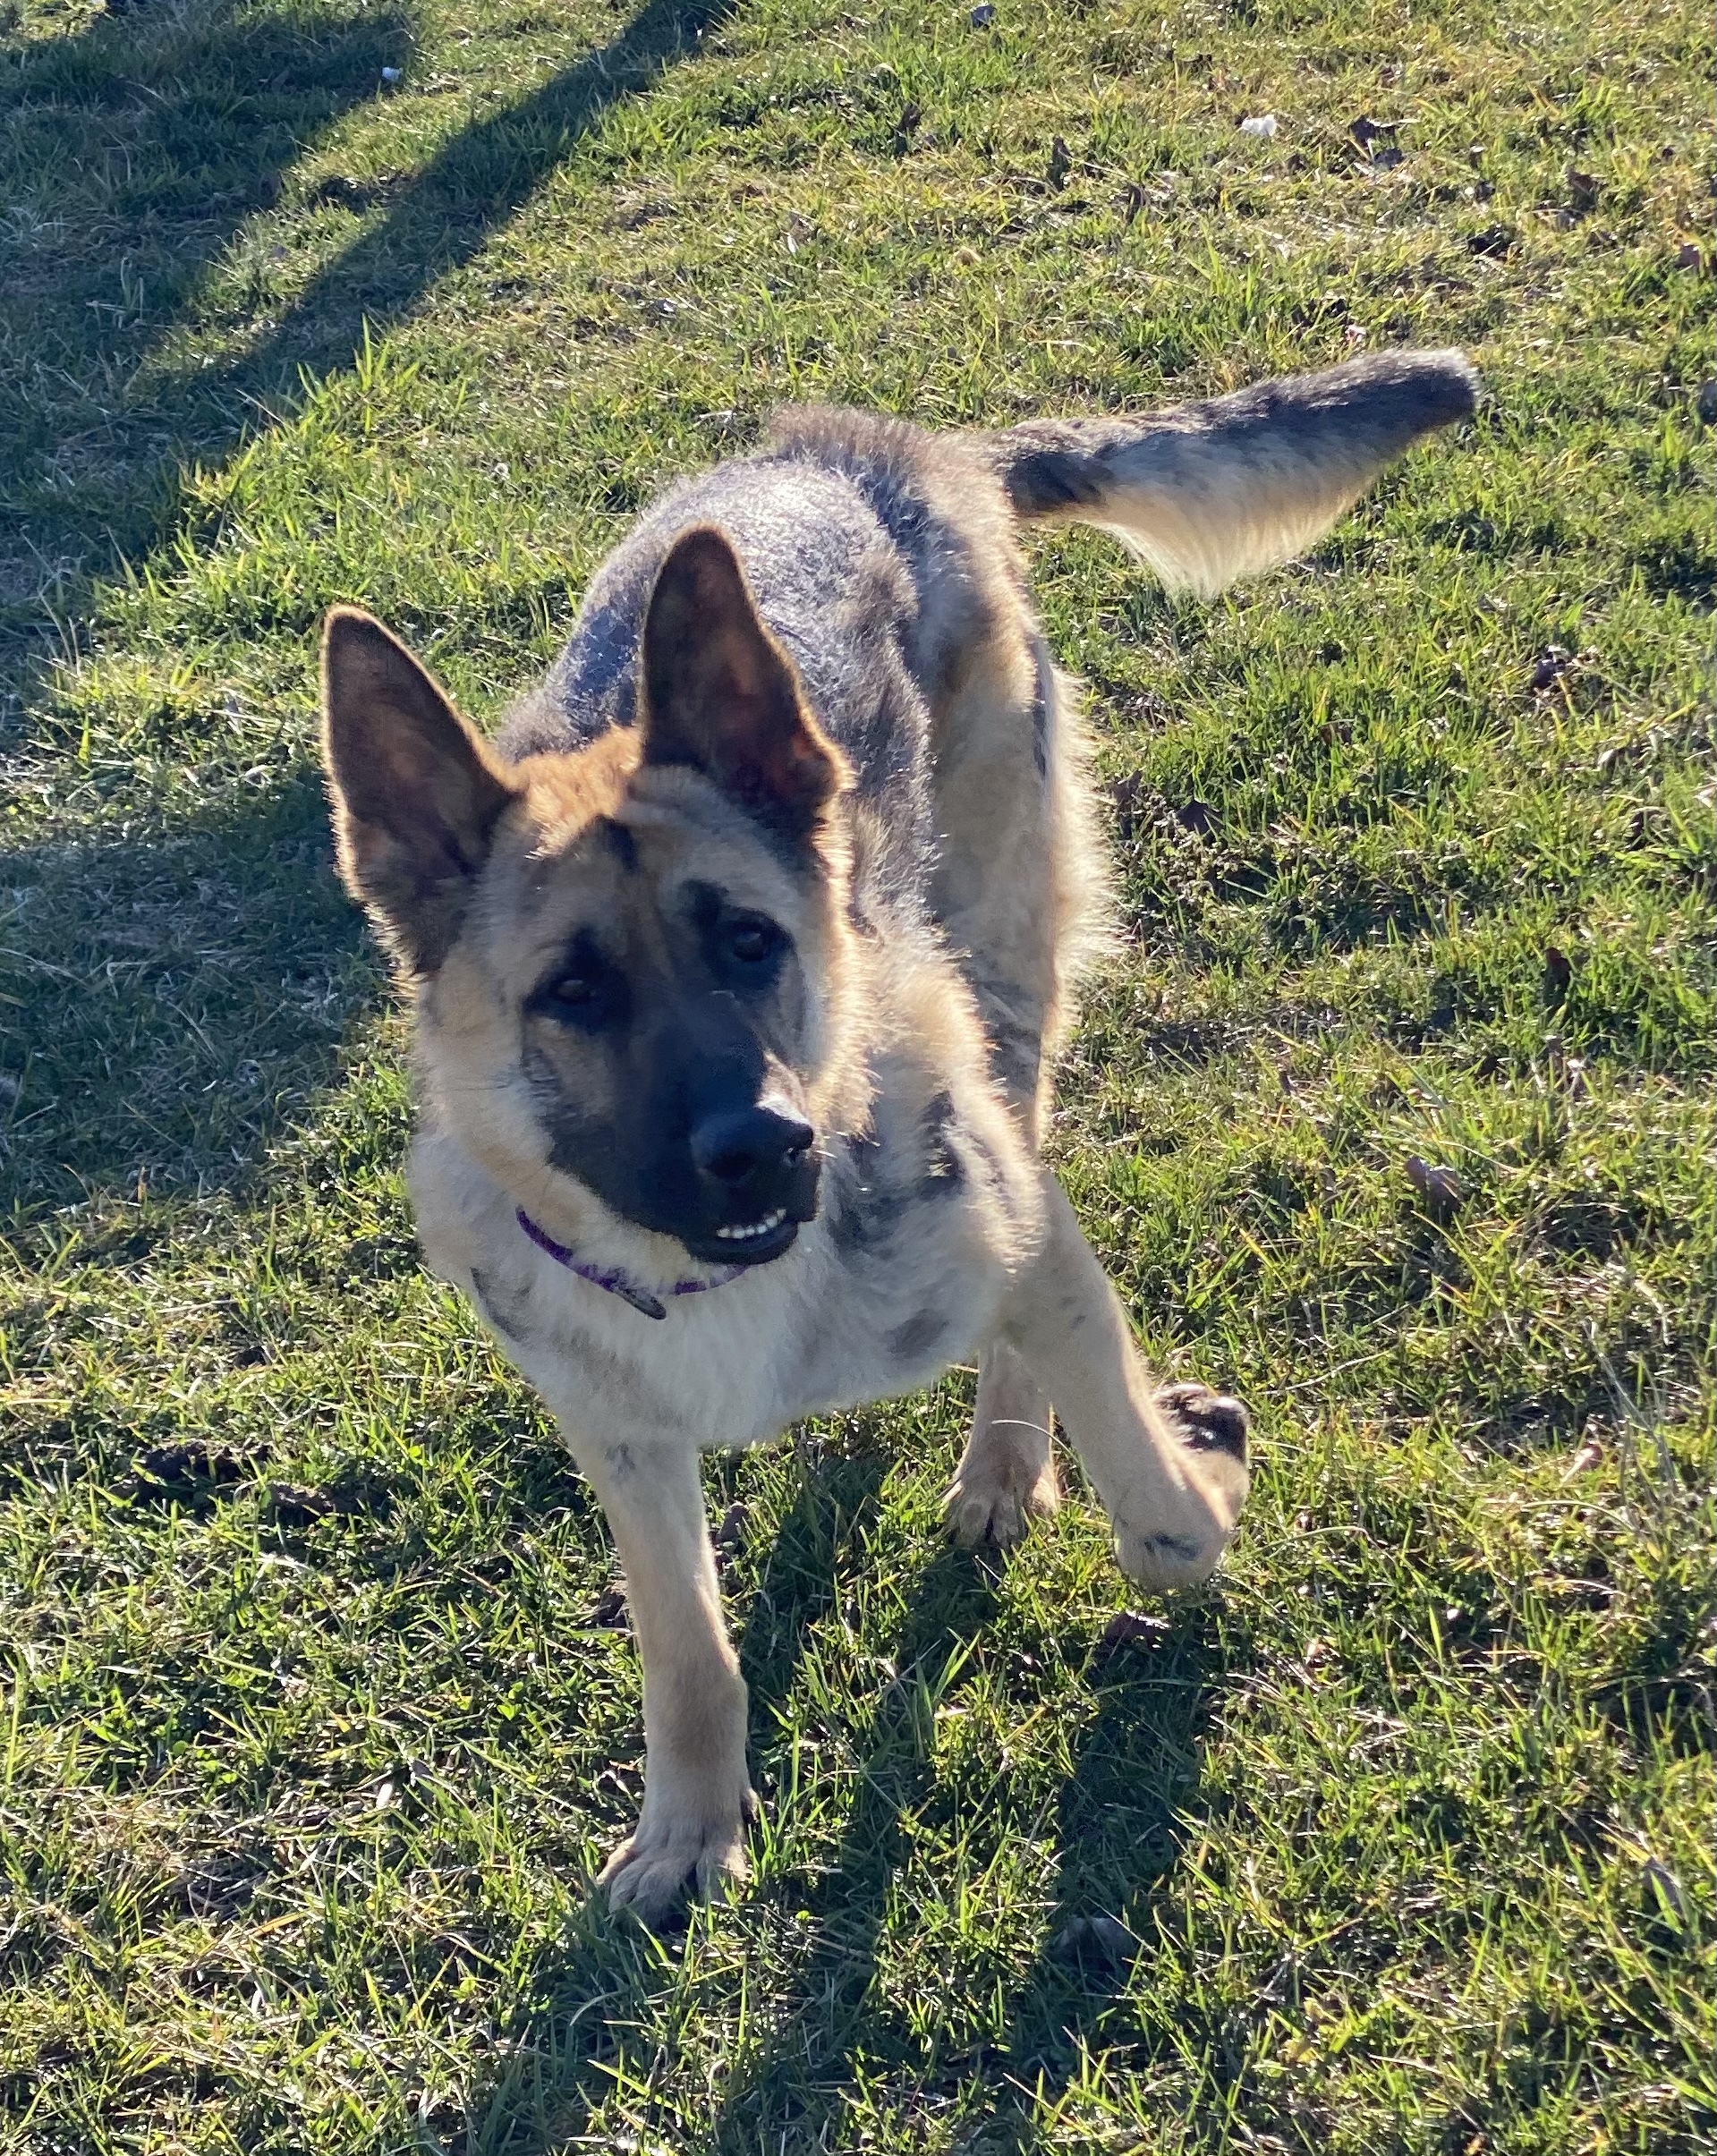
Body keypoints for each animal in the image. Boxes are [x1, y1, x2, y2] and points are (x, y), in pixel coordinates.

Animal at [321, 353, 1475, 1923]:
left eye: (751, 943)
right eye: (572, 993)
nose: (760, 1146)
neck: (718, 1282)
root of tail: (890, 452)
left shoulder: (1021, 1231)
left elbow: (1160, 1514)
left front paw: (1199, 1469)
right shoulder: (619, 1435)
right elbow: (687, 1653)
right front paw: (690, 1827)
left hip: (1002, 992)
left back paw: (999, 1469)